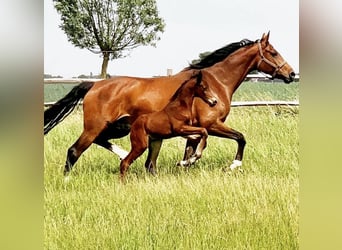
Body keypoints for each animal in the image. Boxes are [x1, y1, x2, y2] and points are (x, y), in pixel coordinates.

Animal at [44, 31, 296, 176]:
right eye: (273, 52)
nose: (291, 74)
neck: (217, 81)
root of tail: (94, 85)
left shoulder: (193, 129)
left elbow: (191, 151)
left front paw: (184, 166)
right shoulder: (212, 124)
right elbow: (240, 138)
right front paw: (234, 165)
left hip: (118, 127)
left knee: (101, 143)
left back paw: (123, 154)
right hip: (96, 126)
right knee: (74, 150)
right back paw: (68, 179)